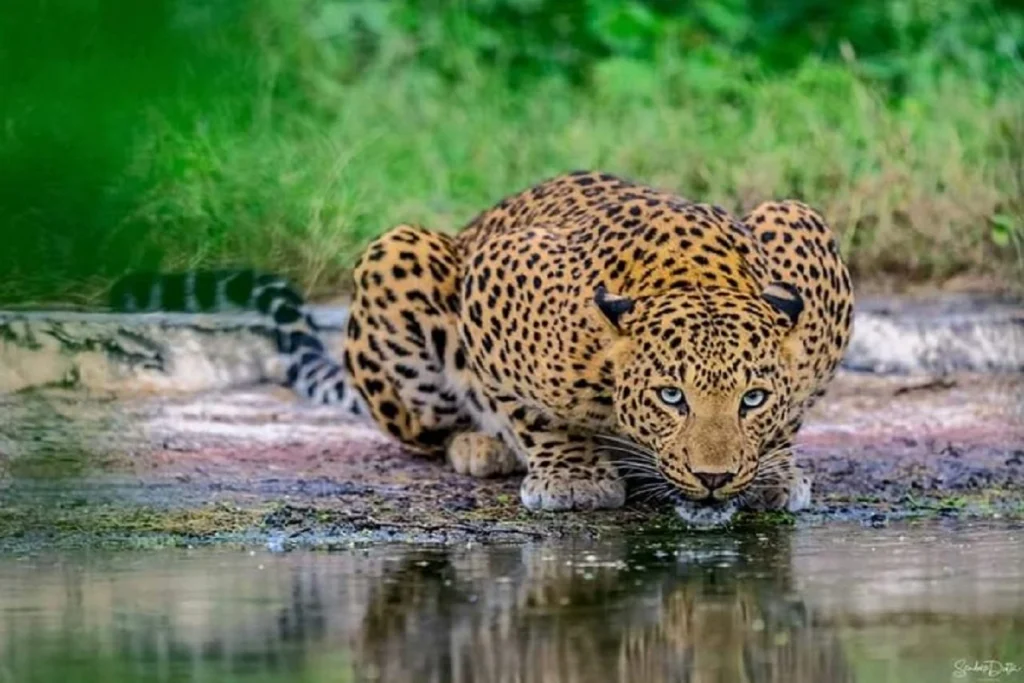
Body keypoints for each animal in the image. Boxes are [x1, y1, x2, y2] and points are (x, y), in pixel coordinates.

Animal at [111, 171, 854, 521]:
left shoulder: (804, 234)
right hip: (398, 256)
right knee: (432, 429)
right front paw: (573, 477)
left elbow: (795, 405)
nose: (714, 477)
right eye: (671, 397)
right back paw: (481, 446)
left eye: (751, 398)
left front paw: (773, 470)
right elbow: (533, 410)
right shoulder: (500, 272)